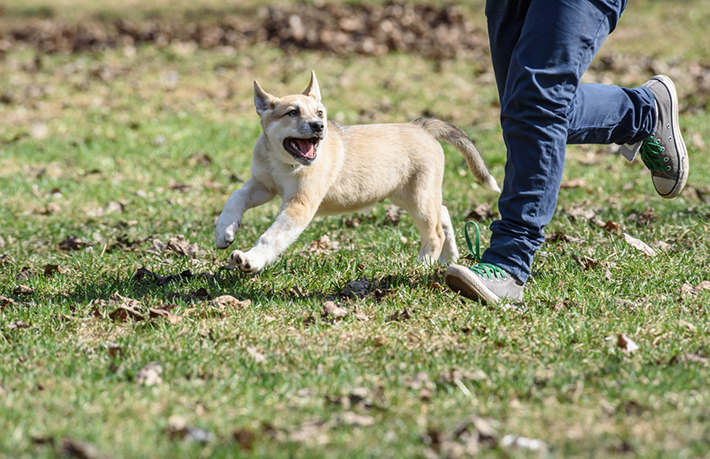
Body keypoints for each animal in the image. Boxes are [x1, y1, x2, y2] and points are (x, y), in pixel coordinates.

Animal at [217, 72, 500, 274]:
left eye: (320, 112)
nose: (319, 126)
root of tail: (422, 126)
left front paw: (249, 260)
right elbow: (236, 195)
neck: (284, 161)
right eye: (292, 112)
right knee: (443, 212)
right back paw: (449, 257)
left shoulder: (299, 205)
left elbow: (271, 236)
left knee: (435, 233)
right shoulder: (263, 185)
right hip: (409, 195)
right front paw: (225, 231)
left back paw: (422, 264)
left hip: (418, 198)